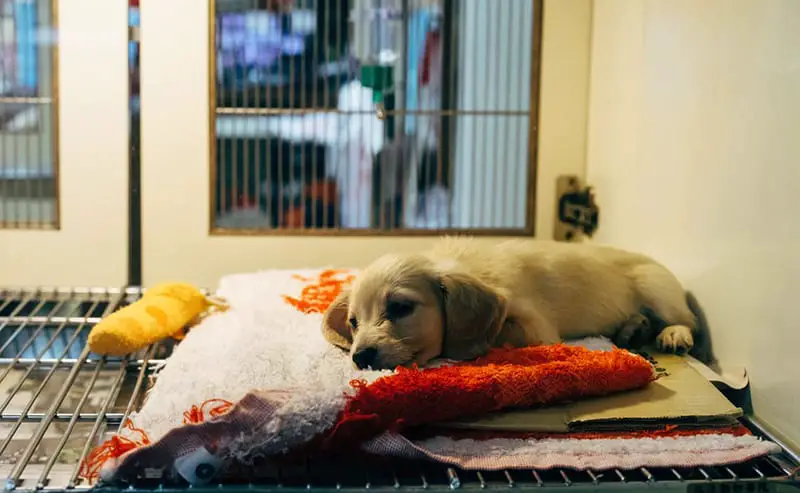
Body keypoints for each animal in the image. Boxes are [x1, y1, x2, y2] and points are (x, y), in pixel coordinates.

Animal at [322, 235, 704, 368]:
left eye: (401, 308)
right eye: (353, 322)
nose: (360, 357)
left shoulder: (537, 328)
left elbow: (497, 335)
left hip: (657, 288)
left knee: (689, 322)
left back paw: (673, 334)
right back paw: (632, 329)